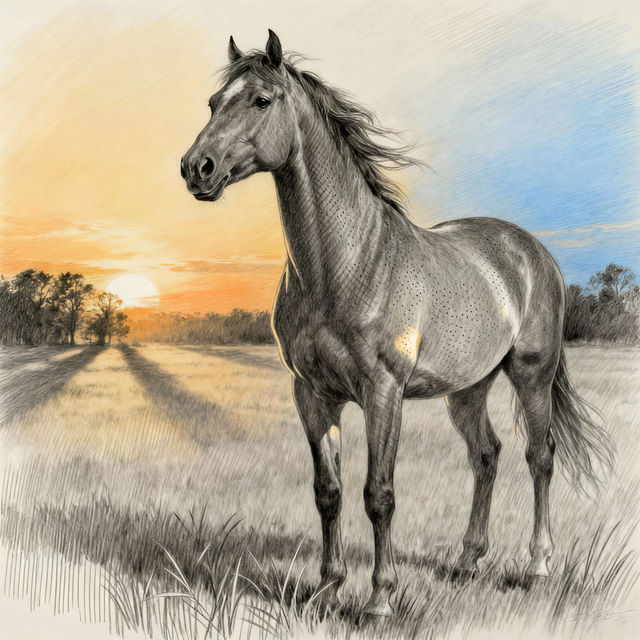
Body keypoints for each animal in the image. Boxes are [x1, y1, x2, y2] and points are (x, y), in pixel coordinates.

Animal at [180, 30, 614, 617]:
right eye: (212, 103)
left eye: (261, 101)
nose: (195, 168)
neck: (346, 264)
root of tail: (530, 250)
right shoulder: (312, 394)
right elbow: (329, 493)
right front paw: (326, 589)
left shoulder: (383, 392)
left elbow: (378, 494)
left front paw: (380, 598)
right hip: (467, 389)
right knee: (486, 456)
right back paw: (466, 561)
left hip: (531, 377)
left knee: (539, 457)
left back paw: (537, 567)